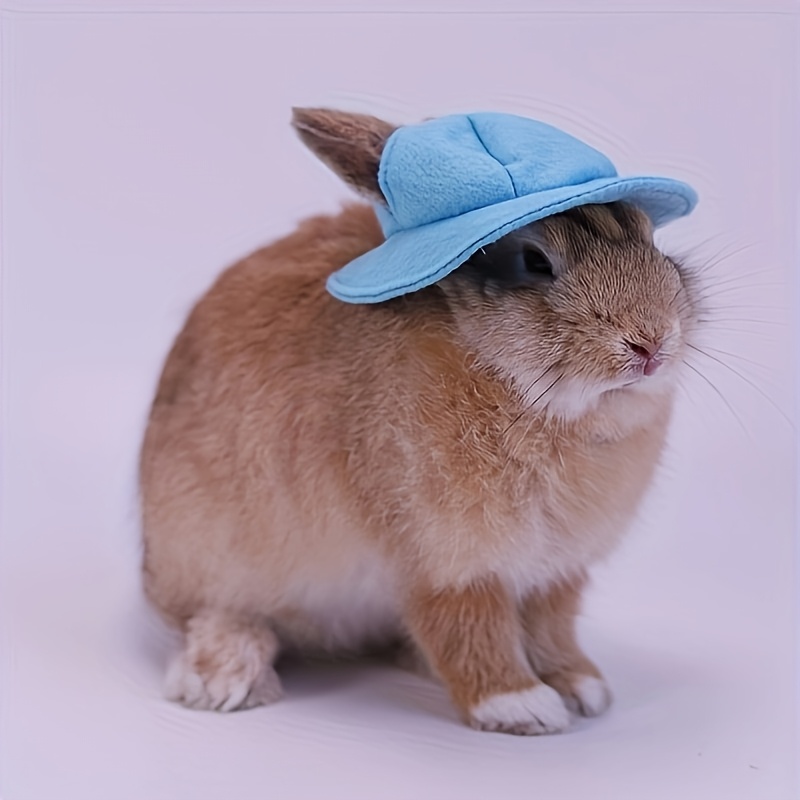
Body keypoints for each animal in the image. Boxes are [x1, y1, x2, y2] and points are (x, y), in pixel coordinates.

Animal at [139, 107, 702, 735]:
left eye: (651, 238)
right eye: (535, 262)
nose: (651, 344)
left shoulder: (556, 571)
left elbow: (551, 627)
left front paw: (583, 687)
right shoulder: (444, 559)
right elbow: (466, 625)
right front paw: (520, 706)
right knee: (215, 615)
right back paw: (224, 679)